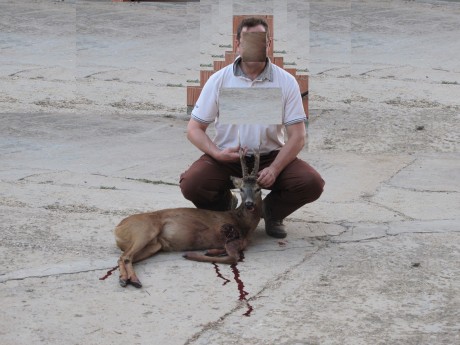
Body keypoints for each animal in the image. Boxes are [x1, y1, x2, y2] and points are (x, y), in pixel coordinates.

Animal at [114, 148, 262, 288]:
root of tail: (118, 228)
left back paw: (125, 279)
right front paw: (193, 254)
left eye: (258, 189)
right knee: (126, 256)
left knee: (124, 257)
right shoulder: (230, 235)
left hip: (154, 245)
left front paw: (211, 251)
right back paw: (132, 280)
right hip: (144, 230)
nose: (249, 203)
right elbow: (233, 257)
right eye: (241, 189)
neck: (243, 223)